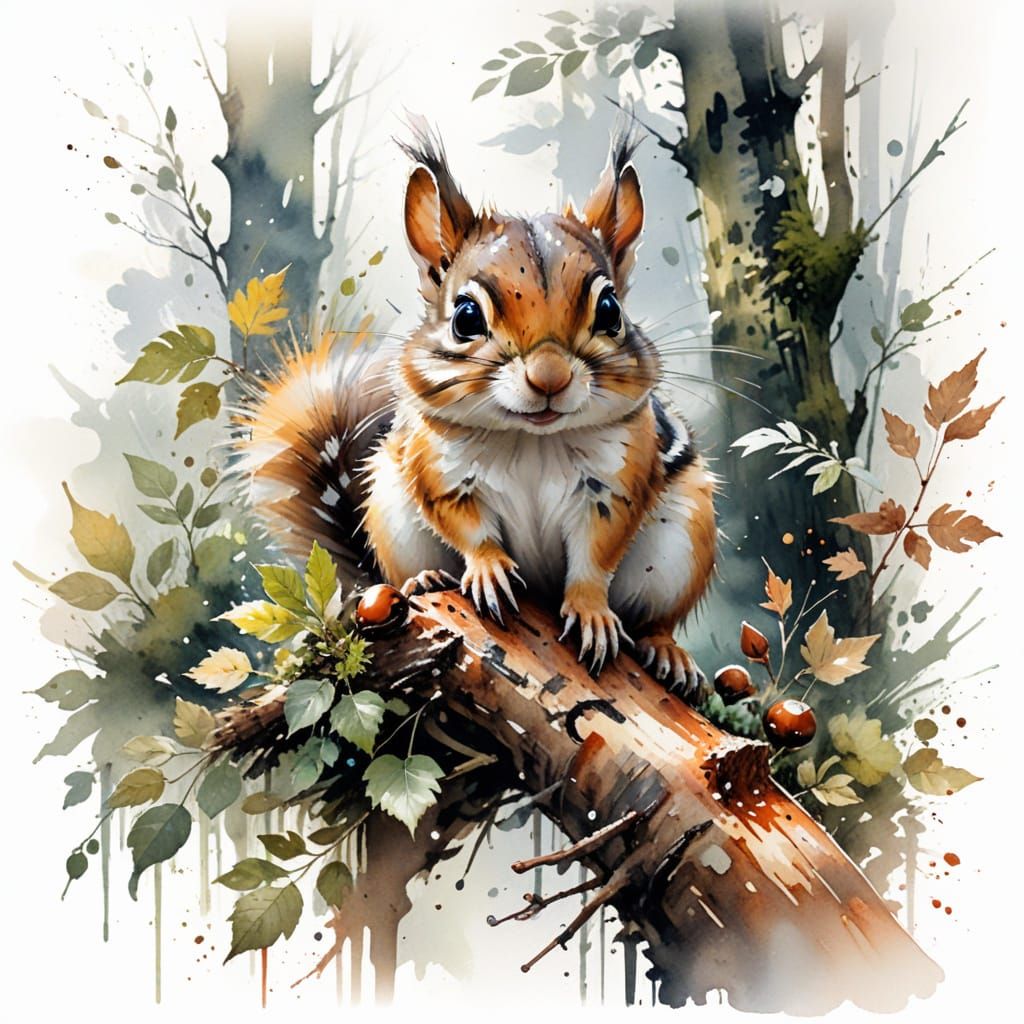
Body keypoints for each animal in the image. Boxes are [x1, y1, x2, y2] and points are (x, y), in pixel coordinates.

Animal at [237, 128, 716, 700]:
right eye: (465, 317)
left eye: (610, 311)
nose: (550, 378)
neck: (532, 440)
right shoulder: (442, 474)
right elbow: (468, 528)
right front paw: (488, 570)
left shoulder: (616, 484)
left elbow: (595, 556)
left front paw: (590, 611)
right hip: (394, 521)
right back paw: (425, 580)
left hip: (682, 547)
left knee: (656, 619)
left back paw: (668, 653)